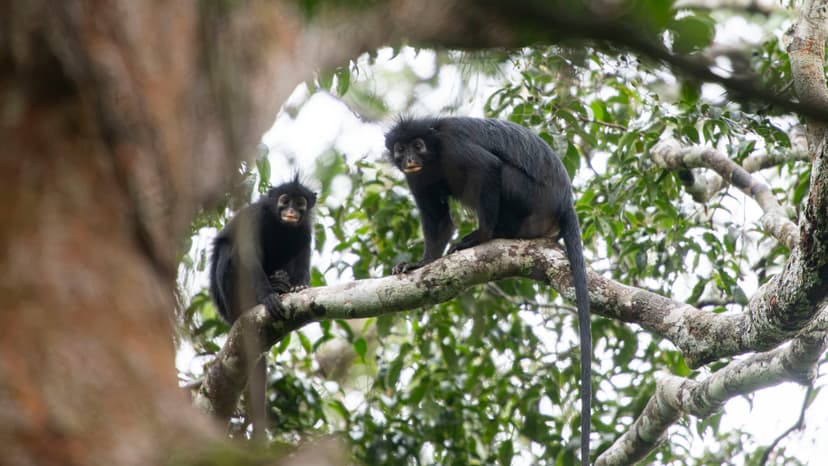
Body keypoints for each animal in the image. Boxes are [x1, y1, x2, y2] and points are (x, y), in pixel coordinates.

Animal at [208, 175, 316, 436]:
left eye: (300, 203)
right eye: (284, 200)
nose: (291, 211)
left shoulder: (305, 228)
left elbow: (303, 249)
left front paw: (299, 287)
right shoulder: (255, 217)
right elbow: (248, 255)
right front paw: (267, 297)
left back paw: (282, 285)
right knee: (230, 249)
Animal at [385, 116, 591, 465]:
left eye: (418, 145)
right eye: (401, 149)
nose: (410, 158)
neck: (434, 153)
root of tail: (565, 201)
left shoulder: (453, 146)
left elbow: (488, 168)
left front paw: (481, 236)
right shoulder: (418, 177)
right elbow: (439, 222)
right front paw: (419, 263)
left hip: (530, 197)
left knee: (501, 173)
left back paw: (494, 233)